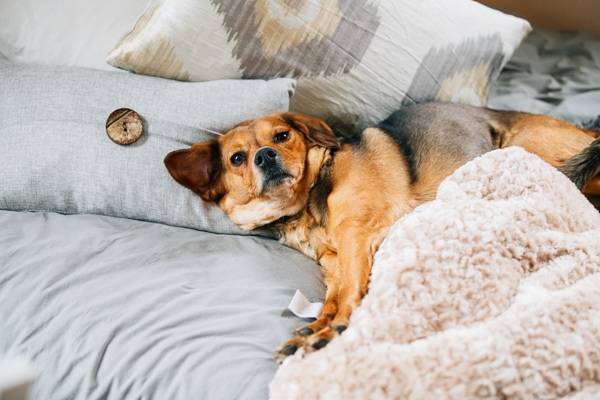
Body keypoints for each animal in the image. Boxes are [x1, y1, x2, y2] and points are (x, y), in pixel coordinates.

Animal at [163, 102, 600, 360]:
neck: (307, 203)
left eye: (282, 136)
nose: (265, 157)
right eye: (237, 158)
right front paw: (316, 329)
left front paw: (331, 332)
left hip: (533, 150)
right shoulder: (334, 261)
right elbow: (331, 298)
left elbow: (347, 298)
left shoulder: (355, 236)